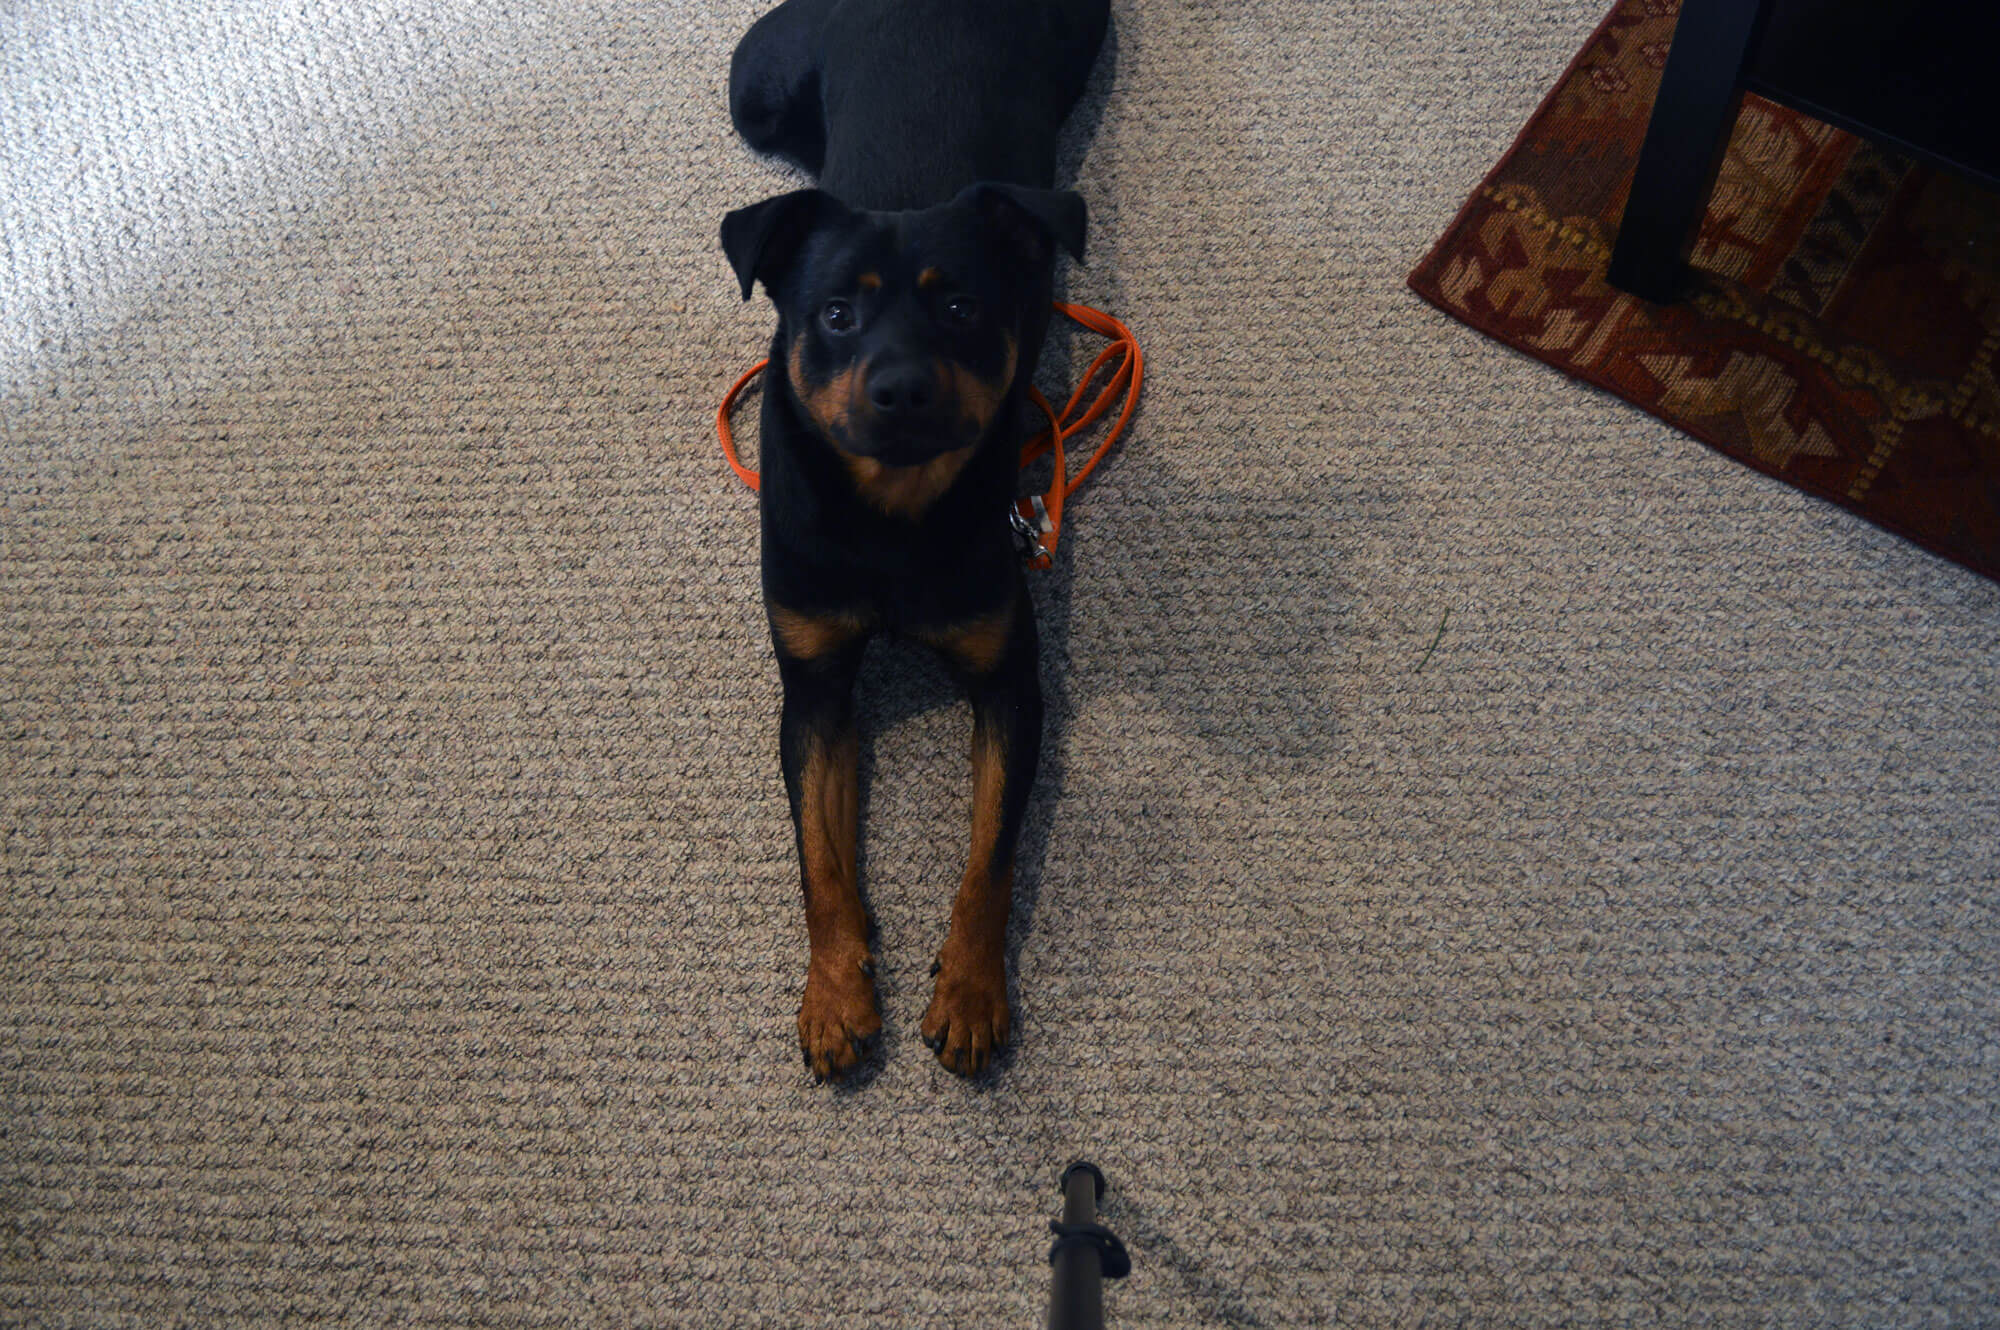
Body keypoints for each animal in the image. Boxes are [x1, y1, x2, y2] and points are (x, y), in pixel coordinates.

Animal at [728, 0, 1120, 1080]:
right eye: (833, 312)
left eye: (960, 307)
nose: (899, 388)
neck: (892, 518)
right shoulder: (814, 688)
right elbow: (820, 862)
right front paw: (833, 996)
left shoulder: (1010, 683)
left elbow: (989, 857)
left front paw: (973, 993)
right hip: (753, 87)